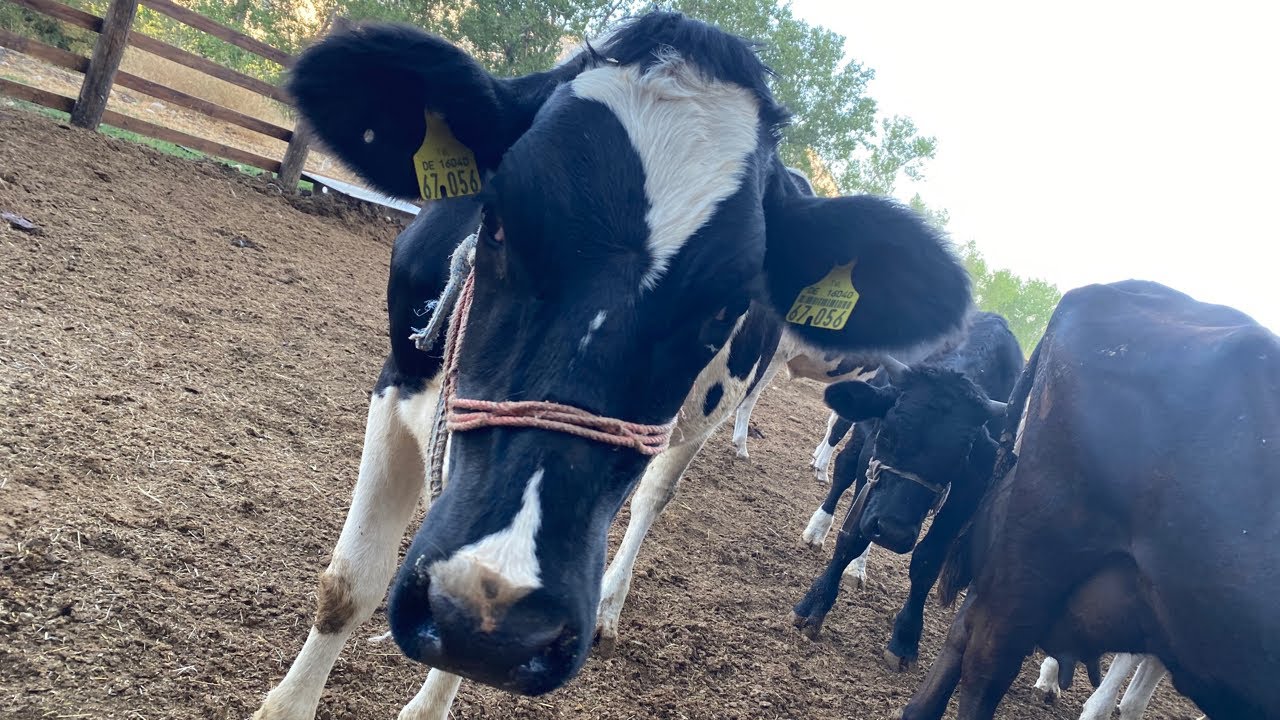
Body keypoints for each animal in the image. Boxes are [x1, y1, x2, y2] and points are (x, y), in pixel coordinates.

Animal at [250, 11, 973, 720]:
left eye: (730, 303)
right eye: (497, 221)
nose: (507, 611)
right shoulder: (396, 378)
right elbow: (350, 582)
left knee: (654, 493)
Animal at [790, 311, 1024, 677]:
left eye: (961, 455)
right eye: (889, 433)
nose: (893, 532)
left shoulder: (966, 494)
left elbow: (926, 561)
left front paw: (905, 638)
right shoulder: (870, 462)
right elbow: (851, 536)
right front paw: (815, 603)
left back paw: (858, 568)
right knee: (842, 470)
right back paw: (818, 527)